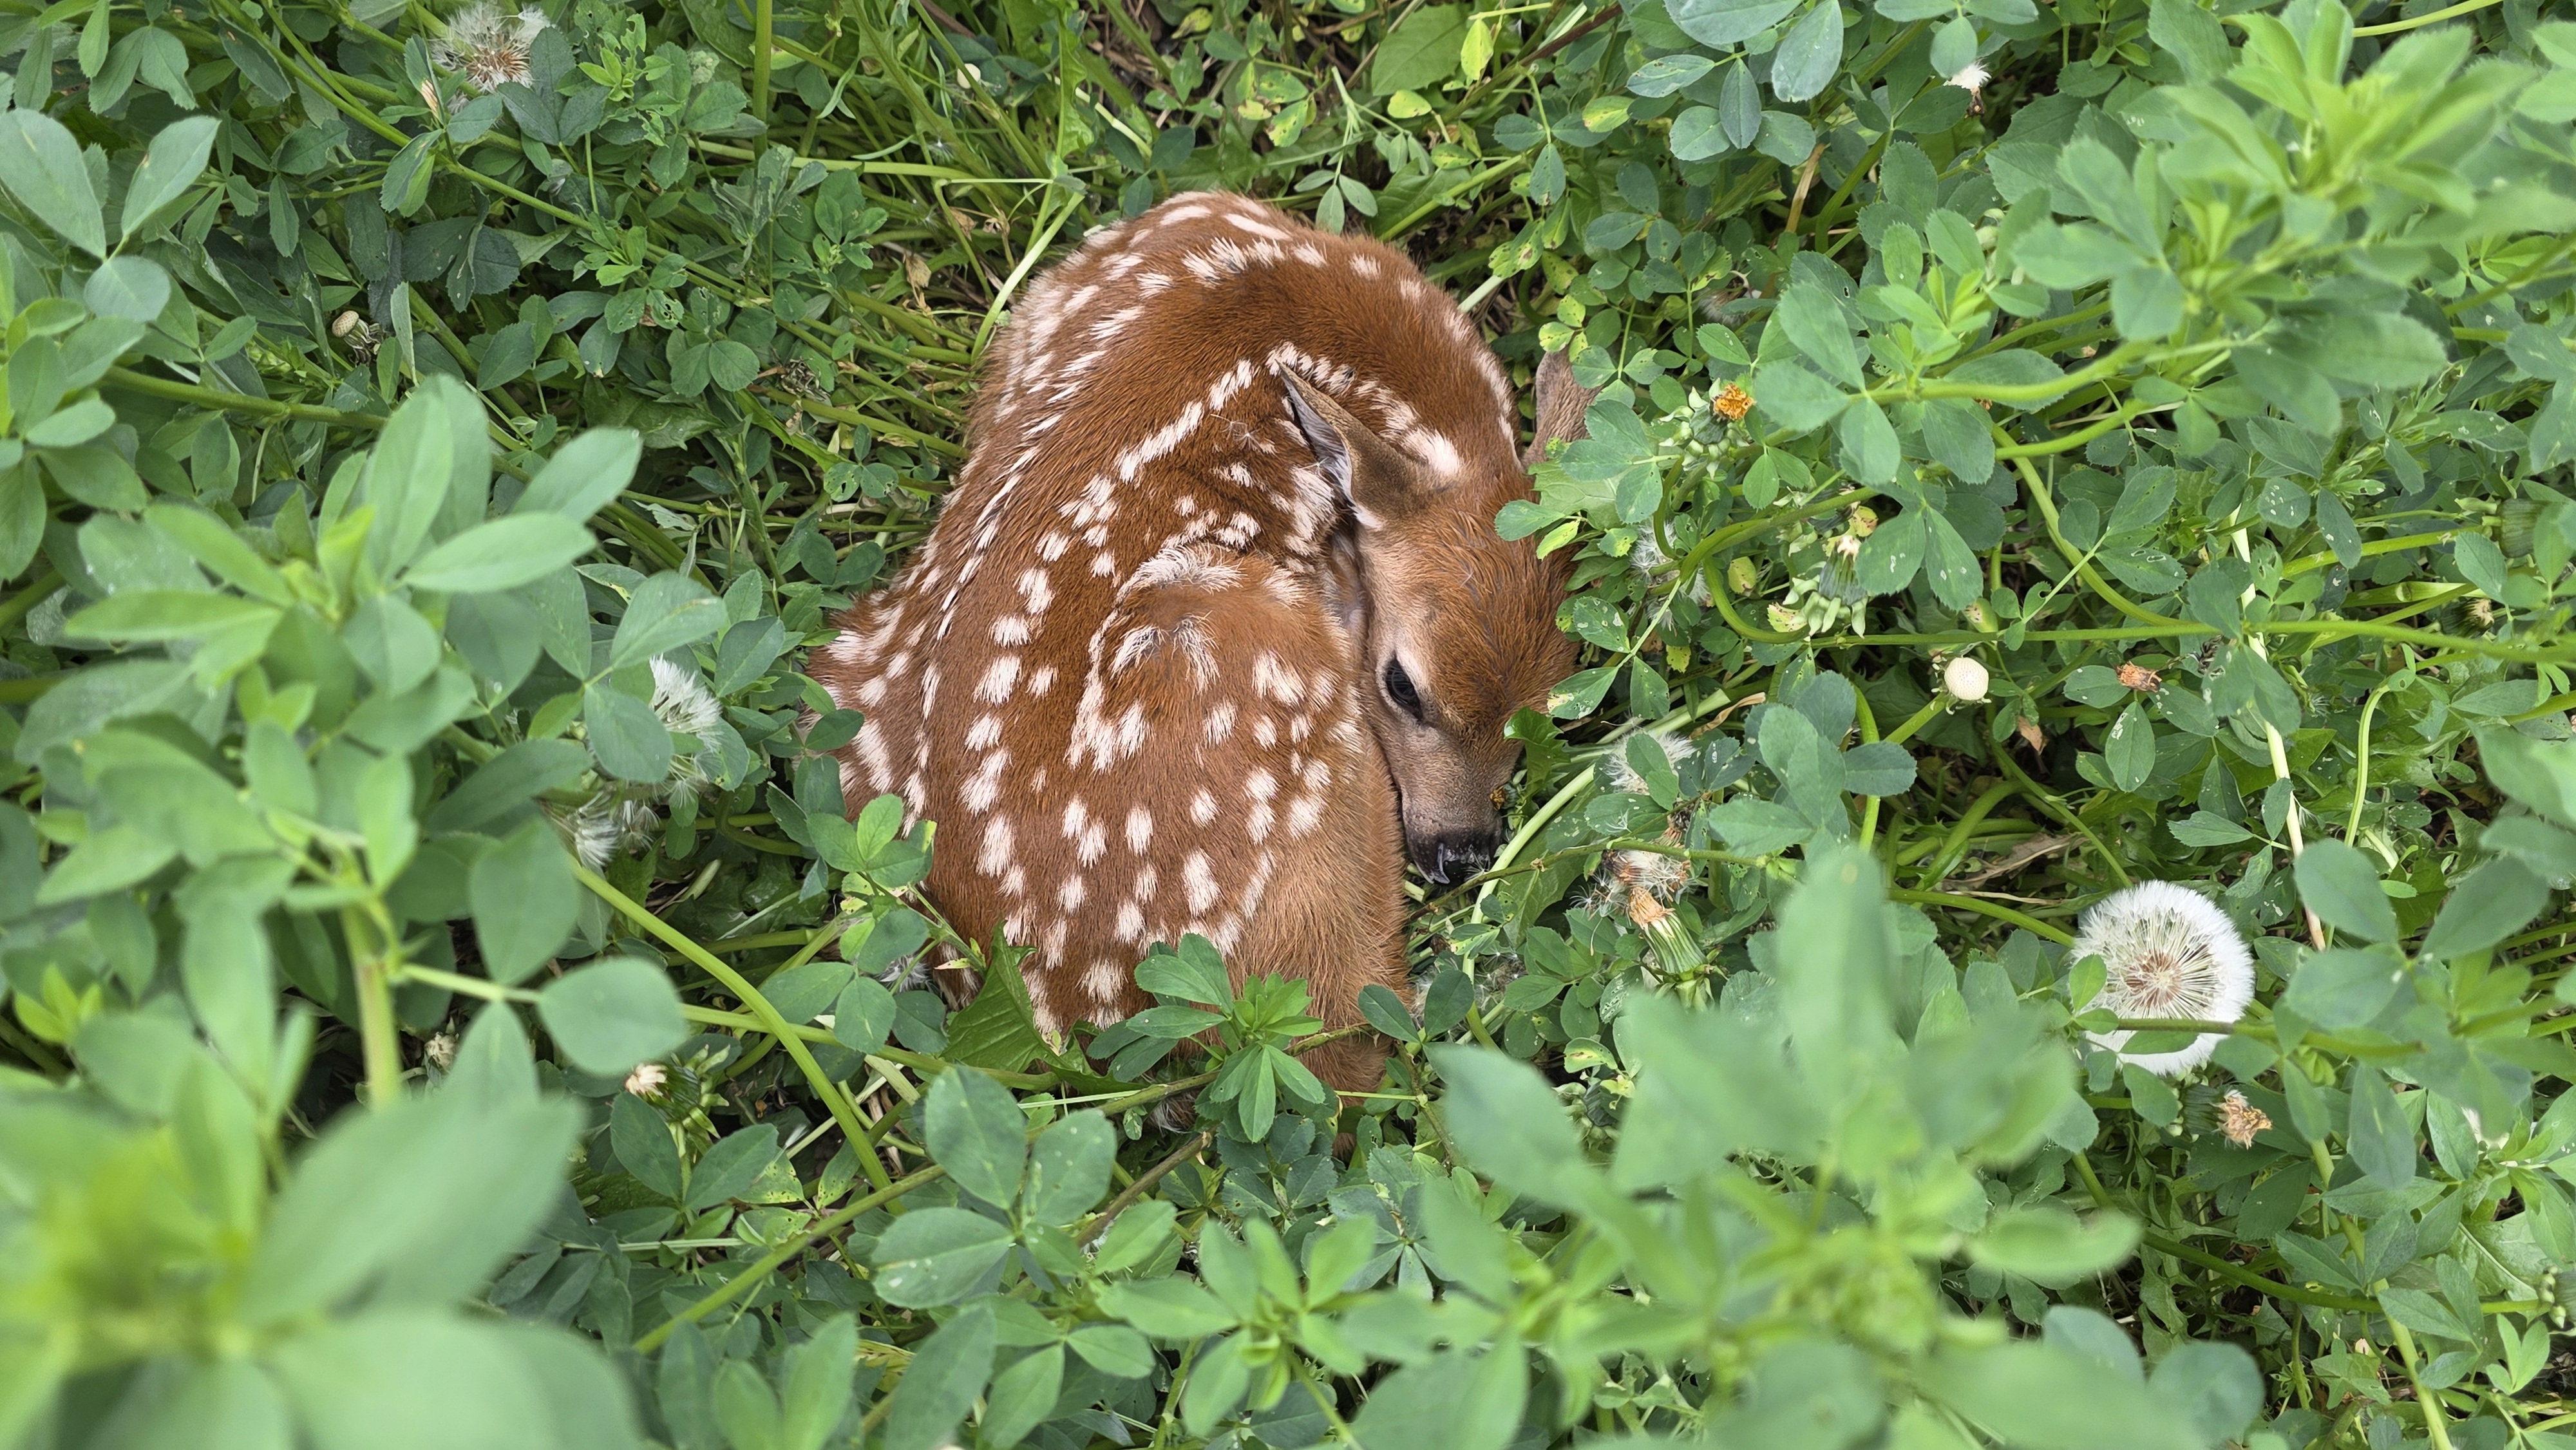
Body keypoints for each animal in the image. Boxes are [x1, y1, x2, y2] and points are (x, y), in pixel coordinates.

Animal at [809, 191, 1591, 1098]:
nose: (1460, 853)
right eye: (1403, 685)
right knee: (1352, 1032)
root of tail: (1059, 1003)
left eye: (1551, 714)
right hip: (1256, 647)